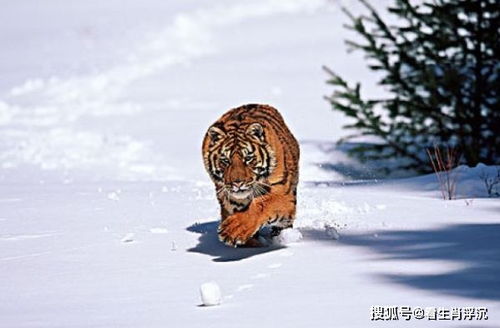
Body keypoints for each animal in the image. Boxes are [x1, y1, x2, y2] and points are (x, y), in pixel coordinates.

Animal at [201, 103, 298, 246]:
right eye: (225, 160)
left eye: (248, 158)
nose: (237, 183)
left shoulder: (282, 193)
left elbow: (262, 205)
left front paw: (234, 229)